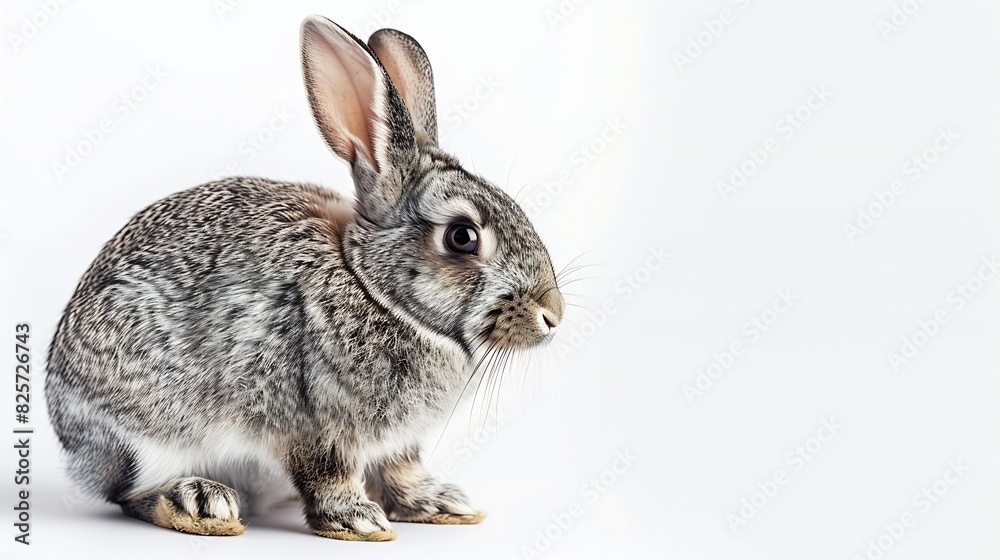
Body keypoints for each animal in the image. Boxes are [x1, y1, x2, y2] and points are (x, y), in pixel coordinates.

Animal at [45, 15, 565, 541]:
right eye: (462, 237)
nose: (552, 316)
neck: (373, 288)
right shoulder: (310, 421)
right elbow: (327, 472)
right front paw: (358, 521)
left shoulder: (398, 442)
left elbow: (402, 470)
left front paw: (440, 505)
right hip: (147, 437)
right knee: (128, 494)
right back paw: (200, 502)